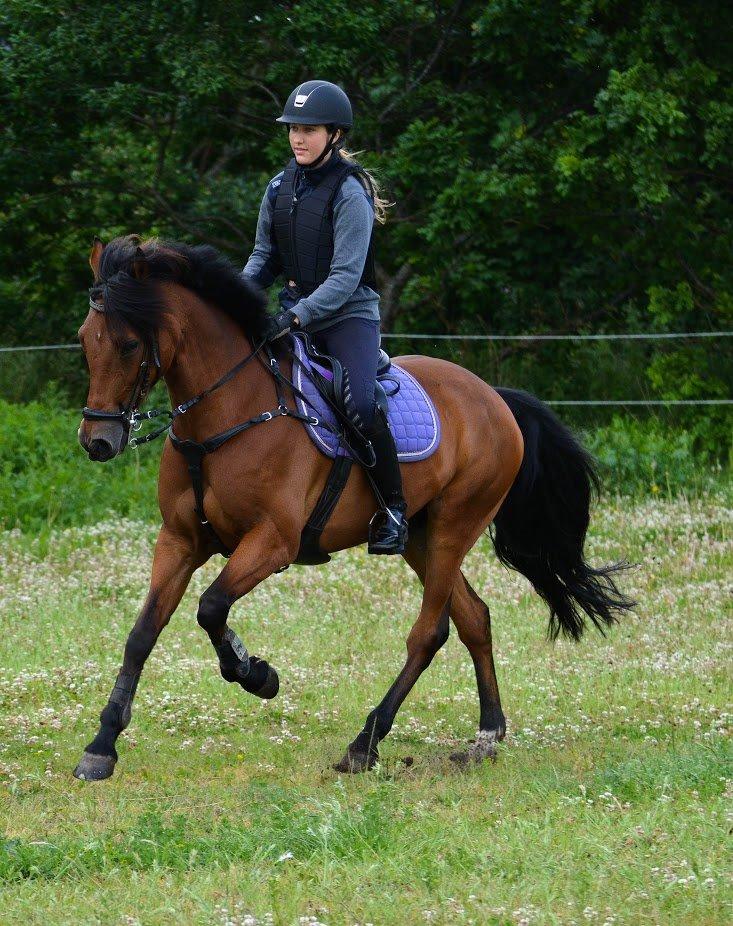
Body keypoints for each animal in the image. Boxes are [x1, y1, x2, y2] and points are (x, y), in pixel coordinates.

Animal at [74, 234, 635, 781]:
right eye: (84, 340)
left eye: (128, 344)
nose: (97, 442)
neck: (225, 414)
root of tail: (493, 398)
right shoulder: (180, 541)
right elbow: (142, 634)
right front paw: (102, 746)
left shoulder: (272, 542)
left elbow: (211, 608)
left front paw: (256, 674)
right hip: (420, 538)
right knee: (474, 618)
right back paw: (486, 737)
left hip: (455, 526)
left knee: (428, 633)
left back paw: (365, 743)